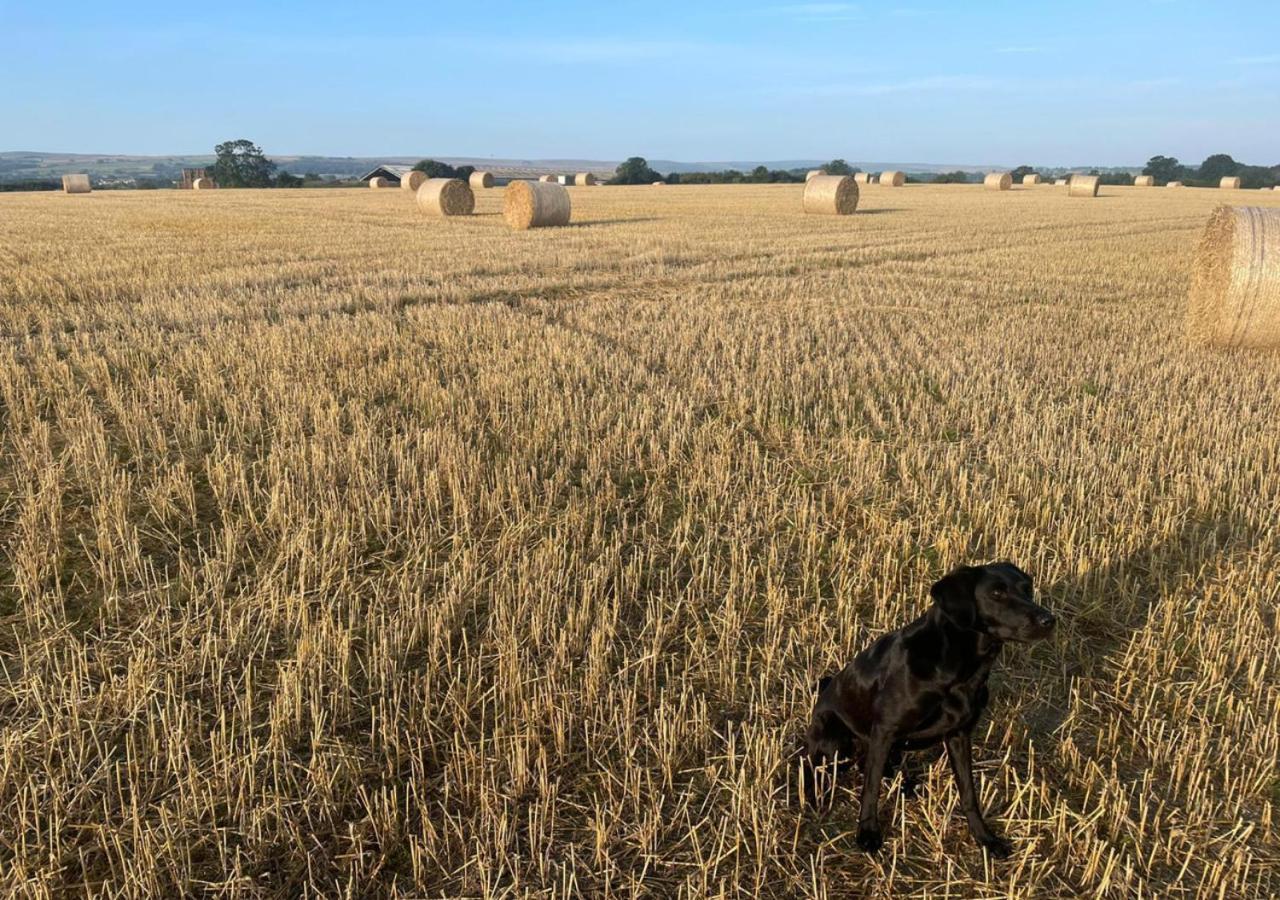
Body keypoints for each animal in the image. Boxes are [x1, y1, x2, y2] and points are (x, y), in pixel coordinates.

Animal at [803, 563, 1054, 860]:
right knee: (816, 765)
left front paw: (985, 838)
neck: (958, 667)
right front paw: (868, 833)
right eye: (996, 593)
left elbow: (968, 793)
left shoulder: (959, 734)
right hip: (835, 739)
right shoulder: (884, 730)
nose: (1049, 620)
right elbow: (871, 789)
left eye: (1027, 589)